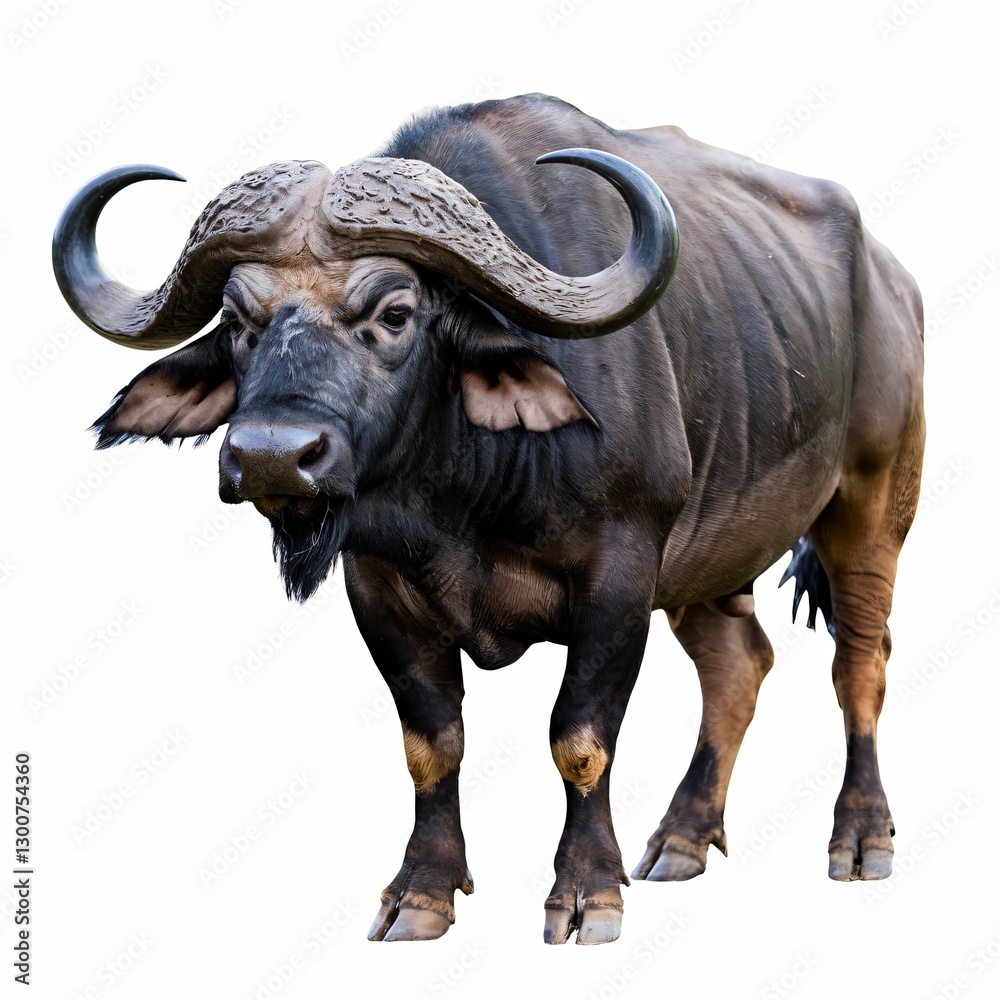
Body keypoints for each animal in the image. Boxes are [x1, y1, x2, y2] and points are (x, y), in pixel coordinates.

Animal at [53, 94, 925, 945]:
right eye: (238, 321)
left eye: (395, 312)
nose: (271, 455)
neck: (466, 503)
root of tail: (891, 280)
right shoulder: (378, 589)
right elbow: (430, 746)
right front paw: (422, 892)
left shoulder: (621, 574)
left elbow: (580, 738)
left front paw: (587, 893)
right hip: (714, 552)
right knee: (738, 663)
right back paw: (680, 839)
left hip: (874, 504)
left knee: (860, 662)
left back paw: (860, 839)